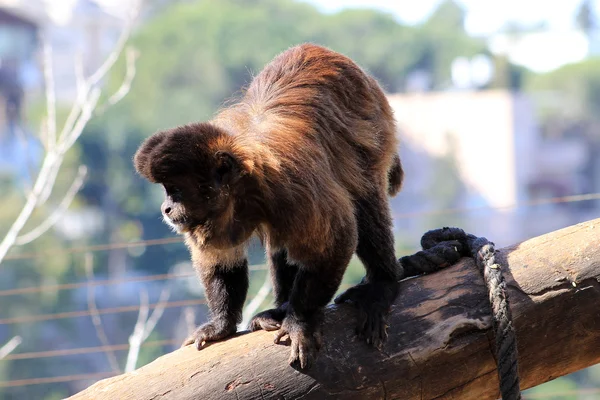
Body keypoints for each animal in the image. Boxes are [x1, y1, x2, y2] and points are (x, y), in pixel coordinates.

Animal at [134, 43, 406, 368]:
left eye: (175, 191)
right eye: (166, 191)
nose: (165, 209)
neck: (245, 192)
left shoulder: (293, 185)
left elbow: (336, 241)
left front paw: (300, 320)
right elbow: (222, 261)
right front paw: (222, 324)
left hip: (376, 128)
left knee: (364, 199)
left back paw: (382, 283)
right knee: (281, 242)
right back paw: (281, 308)